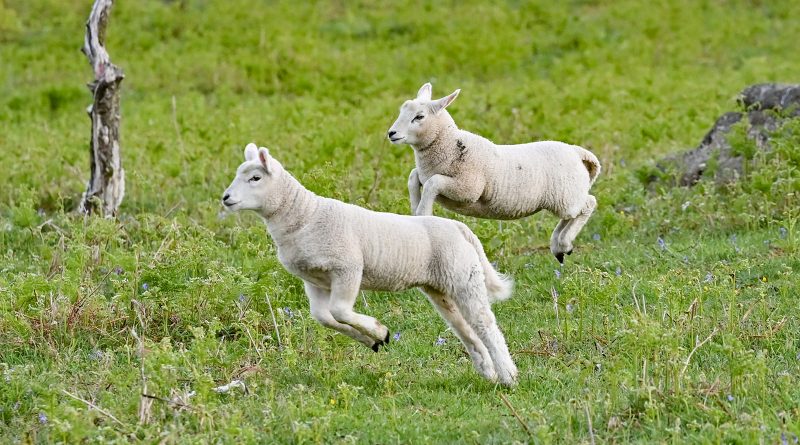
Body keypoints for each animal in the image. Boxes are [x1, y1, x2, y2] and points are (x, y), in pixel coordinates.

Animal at [222, 143, 520, 386]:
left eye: (255, 178)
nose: (225, 198)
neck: (305, 216)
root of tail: (459, 228)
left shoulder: (348, 267)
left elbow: (340, 310)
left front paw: (380, 332)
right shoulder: (314, 280)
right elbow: (324, 317)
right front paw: (373, 341)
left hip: (463, 277)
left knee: (485, 325)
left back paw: (508, 377)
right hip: (440, 287)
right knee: (465, 328)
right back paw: (488, 371)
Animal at [388, 83, 600, 262]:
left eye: (419, 117)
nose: (391, 133)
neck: (449, 145)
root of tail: (577, 152)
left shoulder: (468, 189)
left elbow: (434, 182)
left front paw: (423, 212)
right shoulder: (425, 174)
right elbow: (413, 177)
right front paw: (415, 207)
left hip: (566, 196)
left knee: (587, 205)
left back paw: (563, 242)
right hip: (565, 196)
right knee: (570, 216)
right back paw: (559, 246)